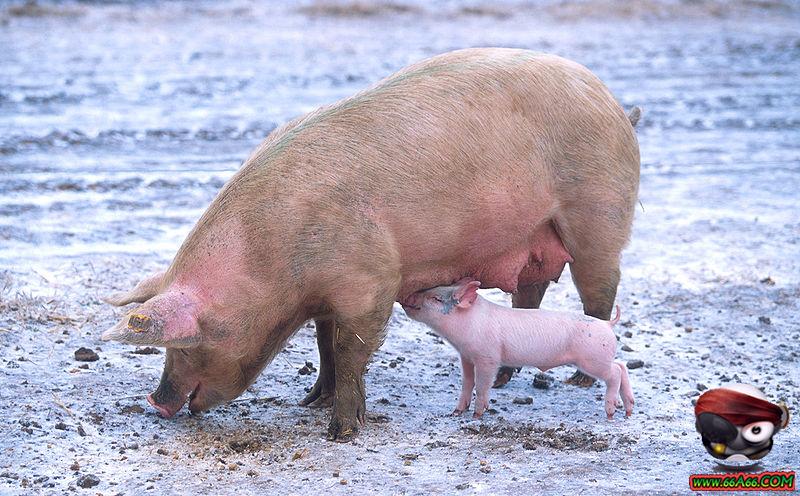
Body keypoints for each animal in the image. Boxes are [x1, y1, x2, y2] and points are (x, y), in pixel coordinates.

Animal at [404, 280, 636, 418]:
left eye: (435, 298)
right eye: (430, 290)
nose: (408, 297)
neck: (469, 323)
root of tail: (607, 324)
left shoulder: (488, 357)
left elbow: (482, 384)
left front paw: (478, 415)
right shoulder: (466, 356)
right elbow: (467, 383)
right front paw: (456, 412)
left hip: (593, 359)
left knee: (615, 373)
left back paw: (611, 412)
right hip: (600, 357)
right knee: (621, 365)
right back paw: (628, 410)